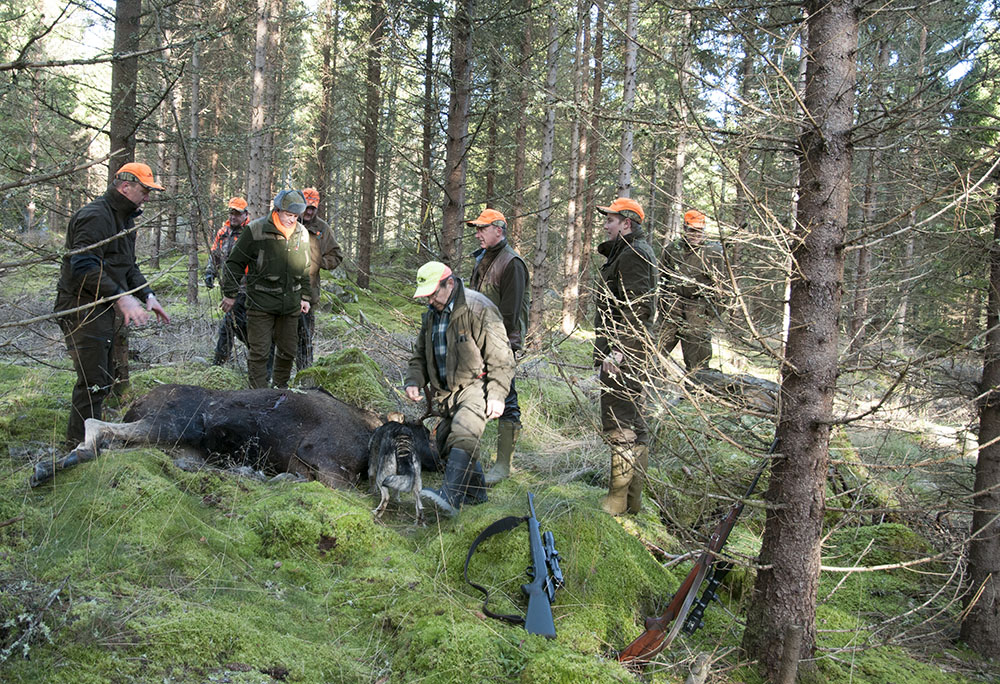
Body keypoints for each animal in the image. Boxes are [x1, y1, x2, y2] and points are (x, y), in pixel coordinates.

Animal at [32, 384, 438, 502]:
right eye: (423, 436)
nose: (438, 459)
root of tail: (139, 400)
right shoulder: (324, 460)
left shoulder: (301, 465)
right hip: (173, 424)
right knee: (96, 425)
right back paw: (54, 465)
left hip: (177, 442)